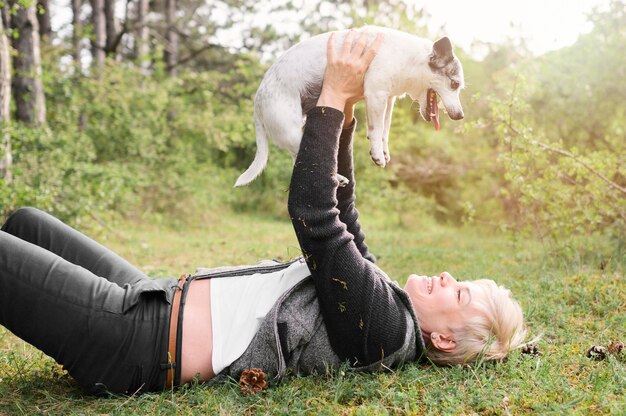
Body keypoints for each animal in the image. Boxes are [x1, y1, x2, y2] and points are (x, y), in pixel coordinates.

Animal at [234, 26, 464, 187]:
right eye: (455, 84)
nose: (461, 115)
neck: (410, 60)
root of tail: (257, 104)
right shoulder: (376, 95)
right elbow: (376, 128)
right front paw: (377, 154)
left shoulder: (388, 99)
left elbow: (385, 130)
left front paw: (383, 149)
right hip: (292, 132)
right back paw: (337, 177)